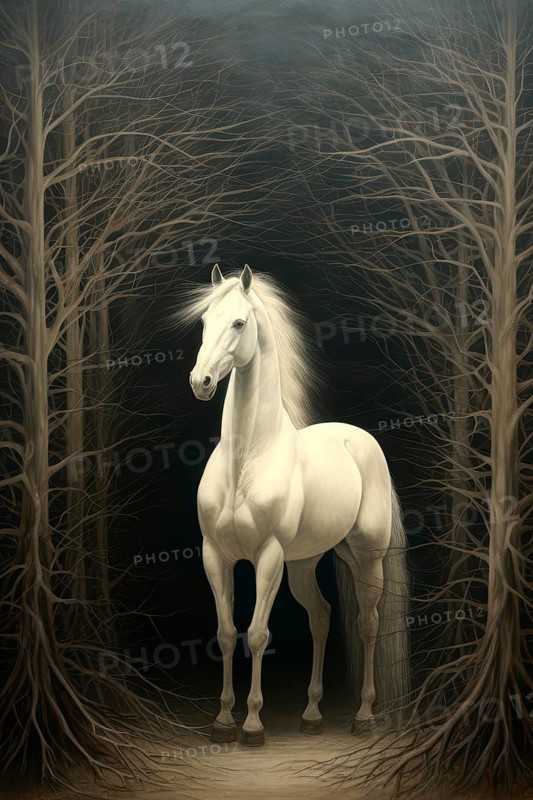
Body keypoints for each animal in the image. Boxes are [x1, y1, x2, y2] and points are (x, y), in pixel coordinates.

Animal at [183, 263, 410, 747]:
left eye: (239, 323)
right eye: (205, 322)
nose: (200, 383)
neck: (247, 460)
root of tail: (359, 439)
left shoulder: (268, 557)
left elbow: (256, 633)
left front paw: (252, 726)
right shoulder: (216, 555)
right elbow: (226, 633)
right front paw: (222, 722)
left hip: (367, 558)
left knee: (368, 622)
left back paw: (364, 716)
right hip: (305, 563)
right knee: (321, 617)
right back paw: (311, 716)